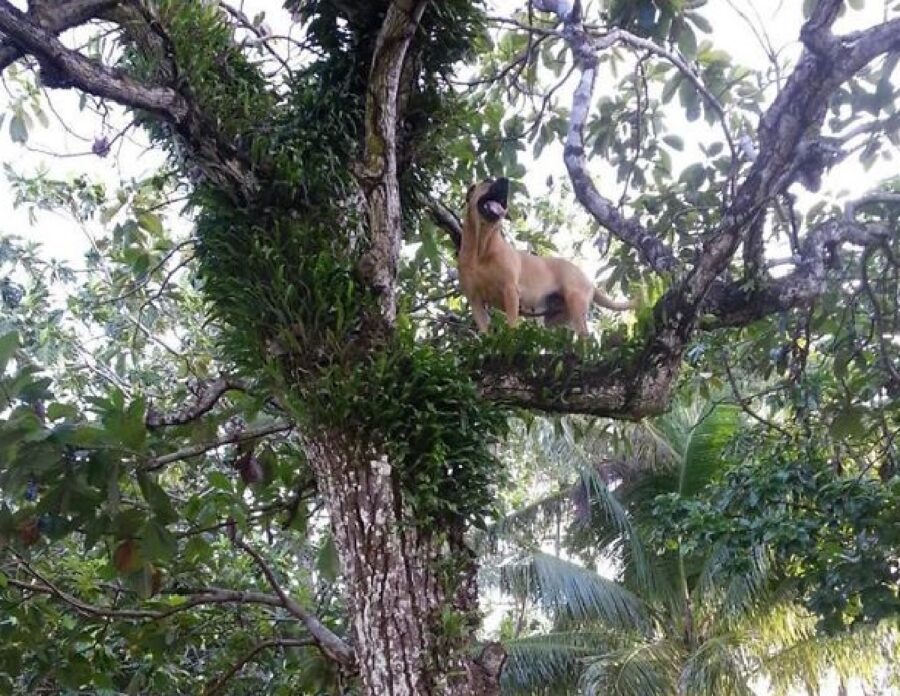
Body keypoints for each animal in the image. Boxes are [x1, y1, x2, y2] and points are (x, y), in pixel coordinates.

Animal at [458, 177, 632, 334]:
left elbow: (512, 325)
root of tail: (589, 281)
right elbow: (485, 332)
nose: (505, 181)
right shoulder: (475, 301)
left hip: (576, 304)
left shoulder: (510, 291)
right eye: (487, 180)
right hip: (554, 317)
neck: (482, 247)